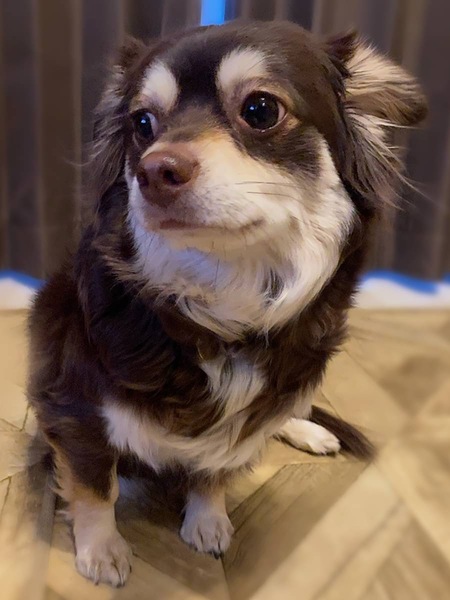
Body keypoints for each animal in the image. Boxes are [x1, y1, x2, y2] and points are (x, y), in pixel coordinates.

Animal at [28, 20, 426, 587]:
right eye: (142, 124)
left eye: (260, 109)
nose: (154, 170)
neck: (222, 301)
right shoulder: (74, 407)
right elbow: (95, 485)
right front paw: (101, 549)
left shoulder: (237, 424)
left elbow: (216, 465)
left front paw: (207, 518)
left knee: (282, 414)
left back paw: (307, 429)